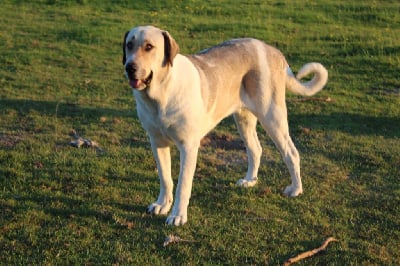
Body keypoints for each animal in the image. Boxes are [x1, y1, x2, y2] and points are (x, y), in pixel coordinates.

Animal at [122, 25, 328, 225]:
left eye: (149, 47)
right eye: (129, 45)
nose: (129, 67)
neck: (161, 94)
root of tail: (272, 50)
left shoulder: (188, 147)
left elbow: (183, 185)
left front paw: (178, 216)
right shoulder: (157, 143)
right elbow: (165, 179)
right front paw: (162, 205)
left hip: (272, 117)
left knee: (291, 152)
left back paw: (295, 189)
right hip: (244, 119)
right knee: (256, 149)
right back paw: (250, 181)